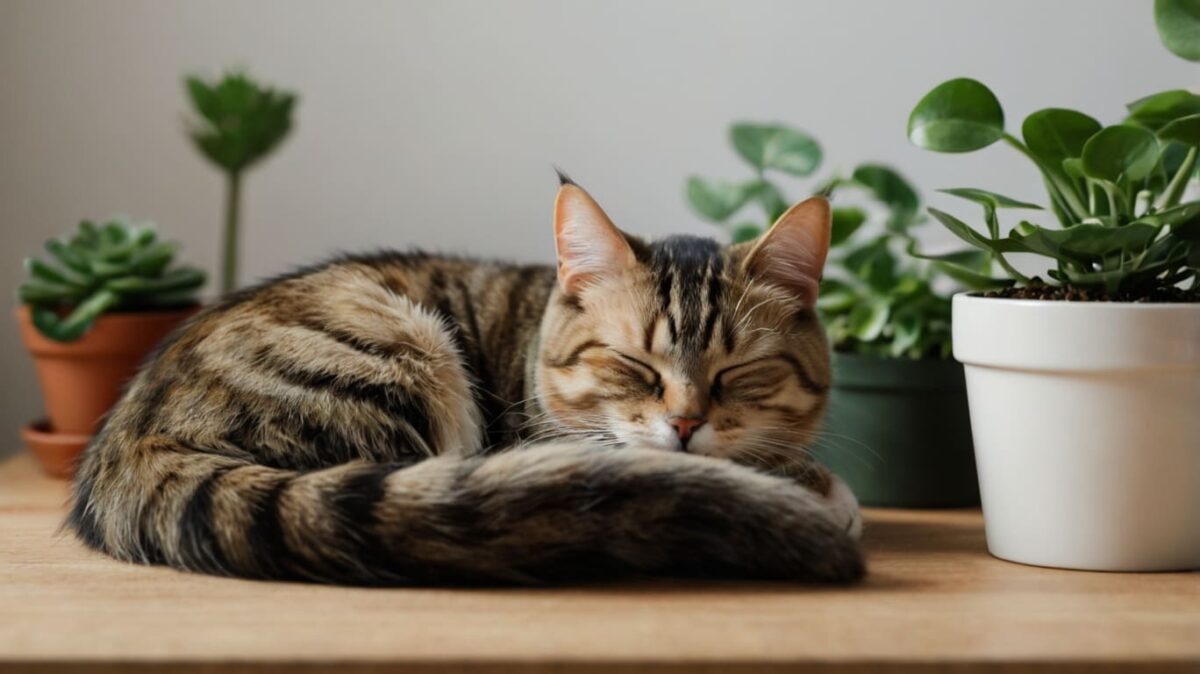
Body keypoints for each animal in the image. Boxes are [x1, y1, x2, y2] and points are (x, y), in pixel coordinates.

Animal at [65, 173, 864, 582]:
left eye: (741, 371)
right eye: (633, 364)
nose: (688, 423)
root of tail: (135, 440)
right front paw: (812, 486)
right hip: (400, 358)